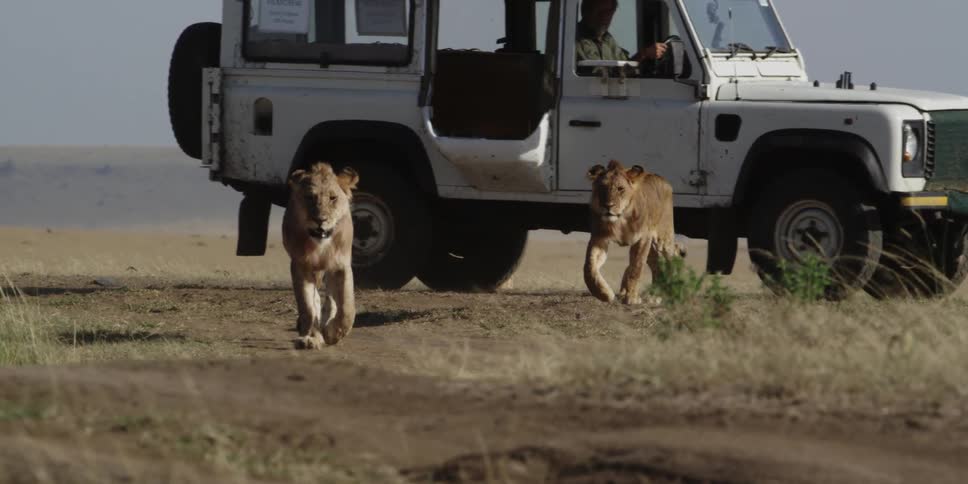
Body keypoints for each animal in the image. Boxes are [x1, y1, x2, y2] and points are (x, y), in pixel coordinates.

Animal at [282, 161, 359, 349]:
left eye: (332, 198)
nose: (320, 220)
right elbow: (308, 306)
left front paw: (333, 333)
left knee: (331, 299)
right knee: (316, 300)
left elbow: (347, 307)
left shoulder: (341, 266)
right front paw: (310, 337)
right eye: (310, 197)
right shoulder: (300, 265)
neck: (321, 244)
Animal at [584, 159, 686, 305]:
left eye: (620, 189)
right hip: (652, 249)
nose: (608, 206)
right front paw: (603, 294)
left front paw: (631, 297)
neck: (620, 220)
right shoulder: (599, 238)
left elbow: (636, 267)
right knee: (655, 265)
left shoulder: (643, 238)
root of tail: (662, 179)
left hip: (662, 240)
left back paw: (667, 294)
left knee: (669, 260)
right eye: (602, 187)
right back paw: (650, 294)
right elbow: (589, 267)